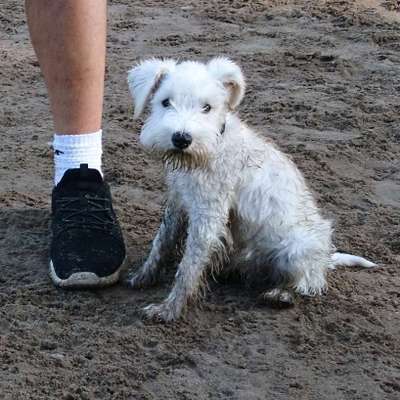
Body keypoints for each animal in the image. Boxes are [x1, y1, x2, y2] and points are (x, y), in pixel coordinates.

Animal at [126, 57, 376, 322]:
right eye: (165, 101)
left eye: (207, 107)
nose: (182, 138)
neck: (209, 149)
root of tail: (326, 258)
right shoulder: (177, 201)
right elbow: (161, 242)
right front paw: (142, 277)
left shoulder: (208, 214)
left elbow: (188, 267)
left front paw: (169, 309)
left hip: (297, 247)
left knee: (309, 282)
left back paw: (282, 294)